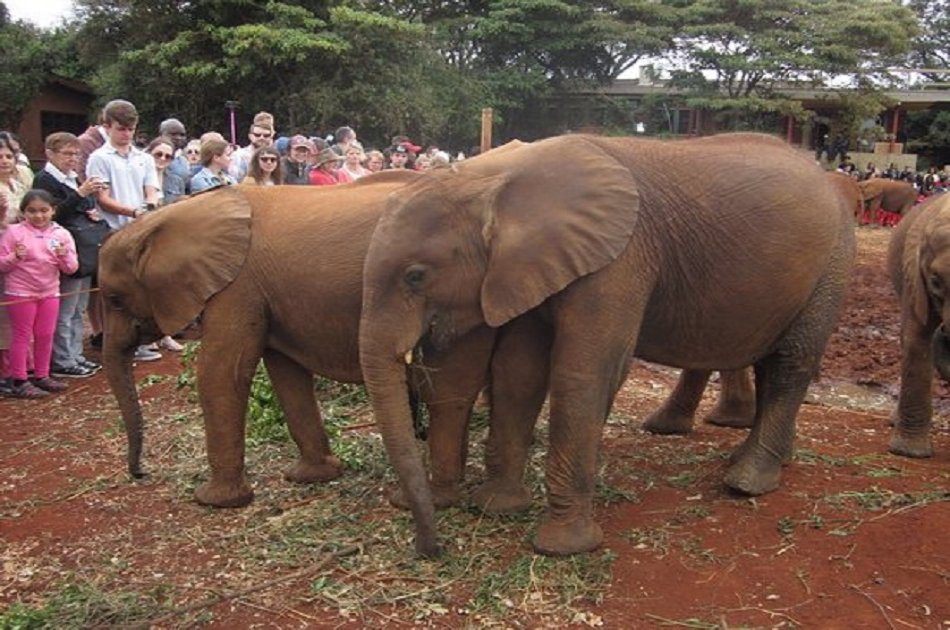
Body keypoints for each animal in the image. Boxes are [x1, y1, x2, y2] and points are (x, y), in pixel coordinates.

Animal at [99, 174, 494, 512]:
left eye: (115, 300)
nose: (140, 472)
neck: (176, 214)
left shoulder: (237, 287)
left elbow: (220, 374)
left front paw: (214, 501)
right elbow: (285, 373)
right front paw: (312, 477)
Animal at [360, 133, 860, 556]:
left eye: (415, 276)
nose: (431, 549)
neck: (495, 178)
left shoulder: (620, 258)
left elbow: (582, 372)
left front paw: (561, 547)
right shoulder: (529, 268)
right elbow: (519, 373)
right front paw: (499, 507)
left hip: (834, 262)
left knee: (791, 362)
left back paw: (746, 480)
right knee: (769, 359)